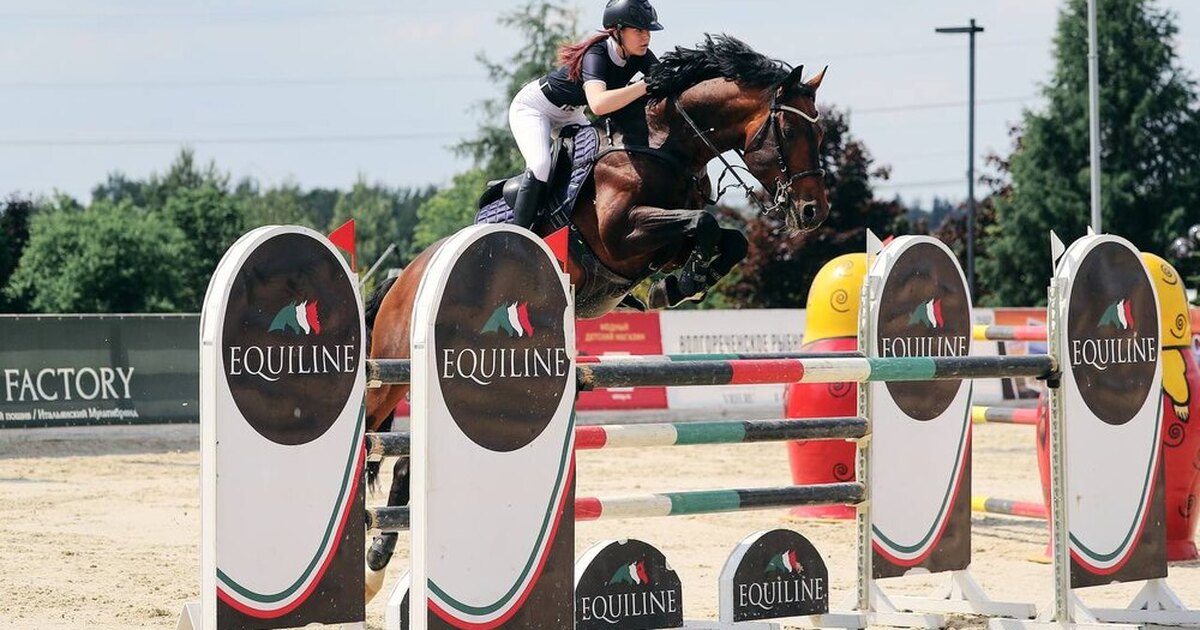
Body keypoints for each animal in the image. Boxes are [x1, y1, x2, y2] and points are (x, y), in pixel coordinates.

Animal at [360, 34, 830, 601]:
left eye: (821, 131)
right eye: (790, 130)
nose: (813, 213)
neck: (664, 146)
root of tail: (406, 276)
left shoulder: (657, 243)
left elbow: (726, 236)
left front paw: (681, 283)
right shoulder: (622, 237)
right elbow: (704, 221)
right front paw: (680, 283)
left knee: (408, 458)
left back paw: (381, 555)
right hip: (395, 369)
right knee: (374, 433)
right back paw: (367, 551)